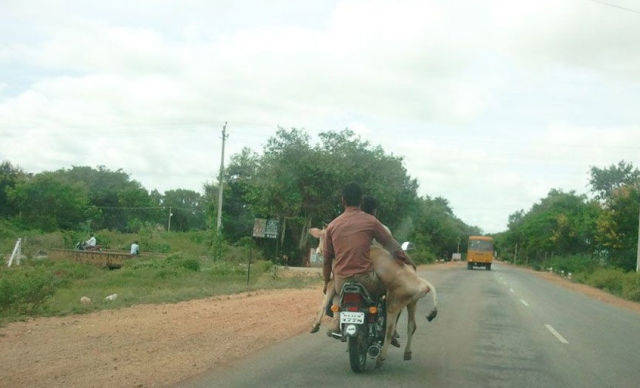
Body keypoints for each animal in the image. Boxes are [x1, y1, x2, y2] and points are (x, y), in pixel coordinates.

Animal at [308, 229, 438, 368]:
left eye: (322, 238)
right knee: (411, 326)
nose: (318, 251)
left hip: (393, 301)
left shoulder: (333, 282)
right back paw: (406, 353)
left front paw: (316, 325)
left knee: (389, 330)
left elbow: (325, 302)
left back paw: (381, 358)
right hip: (411, 302)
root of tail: (421, 284)